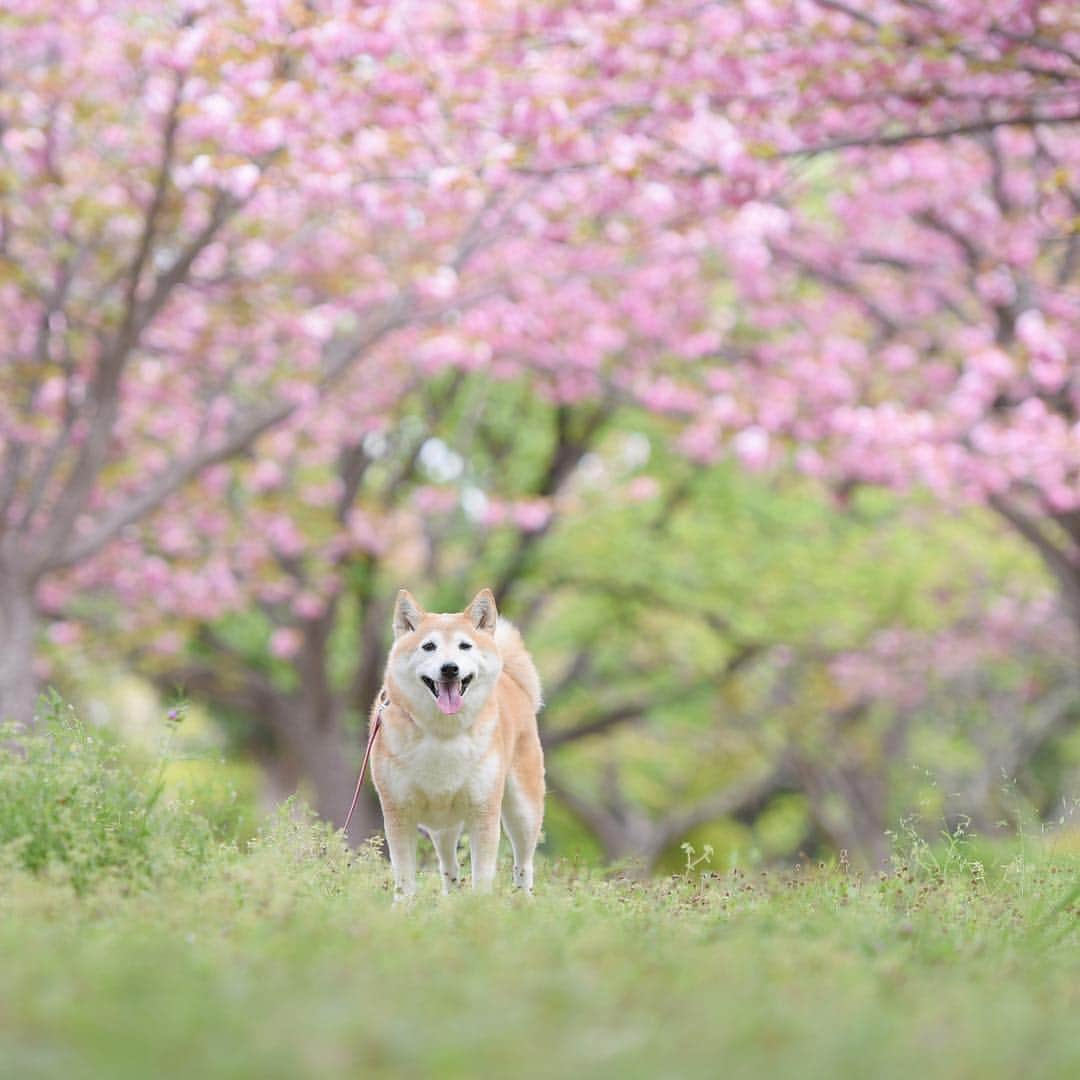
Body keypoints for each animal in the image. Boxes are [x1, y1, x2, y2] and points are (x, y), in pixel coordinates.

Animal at [369, 591, 544, 894]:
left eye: (465, 646)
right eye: (429, 646)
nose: (450, 668)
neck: (443, 733)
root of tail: (513, 682)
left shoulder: (484, 813)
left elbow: (482, 878)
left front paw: (478, 905)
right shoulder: (398, 814)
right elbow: (405, 879)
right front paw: (404, 906)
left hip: (523, 812)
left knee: (524, 865)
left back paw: (524, 899)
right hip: (442, 827)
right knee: (449, 868)